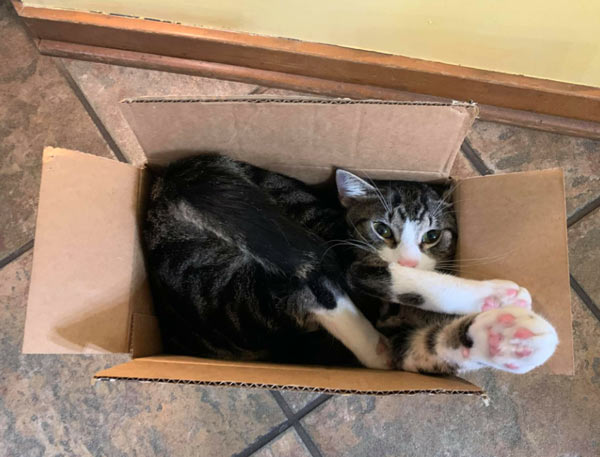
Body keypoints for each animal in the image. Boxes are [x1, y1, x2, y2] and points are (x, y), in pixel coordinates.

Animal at [142, 153, 556, 374]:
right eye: (382, 229)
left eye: (433, 236)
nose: (409, 258)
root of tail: (174, 179)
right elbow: (365, 273)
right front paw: (496, 298)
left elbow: (425, 350)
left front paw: (507, 338)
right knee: (324, 277)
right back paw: (375, 348)